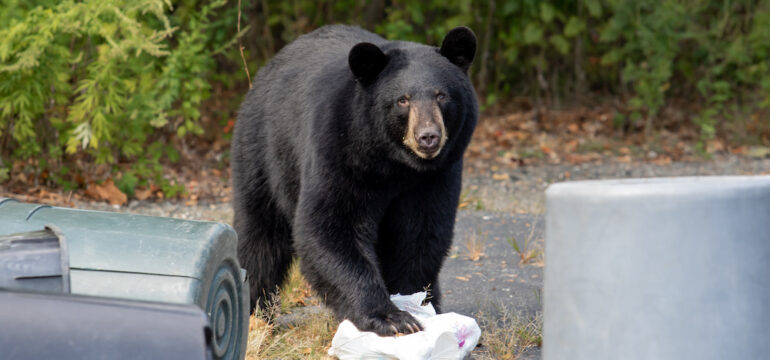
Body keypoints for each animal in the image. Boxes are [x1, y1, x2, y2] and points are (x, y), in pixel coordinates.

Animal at [231, 25, 476, 338]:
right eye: (403, 99)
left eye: (441, 95)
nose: (428, 137)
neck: (395, 163)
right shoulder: (339, 152)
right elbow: (330, 226)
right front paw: (391, 318)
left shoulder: (436, 175)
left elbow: (420, 233)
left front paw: (414, 303)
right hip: (264, 152)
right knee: (260, 236)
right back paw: (255, 313)